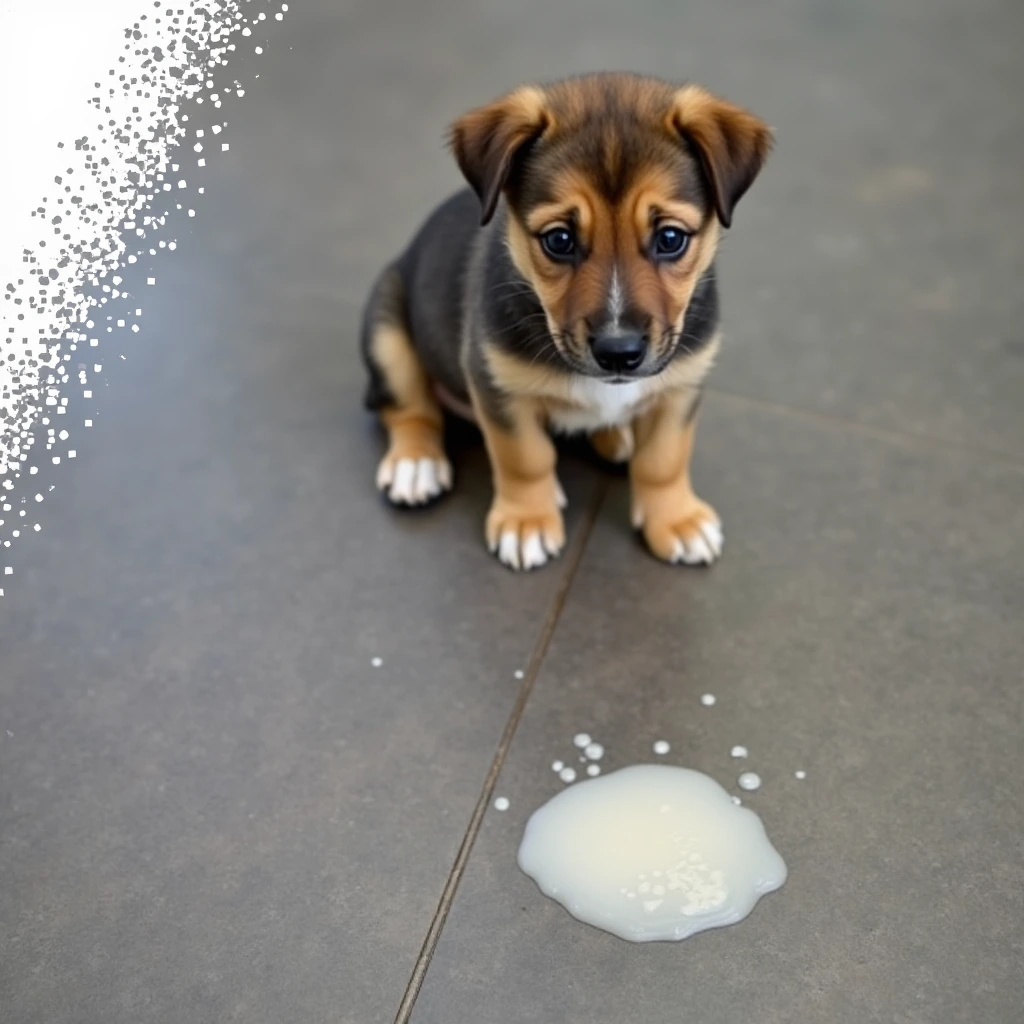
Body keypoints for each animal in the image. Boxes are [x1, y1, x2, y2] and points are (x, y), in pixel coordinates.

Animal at [360, 72, 770, 569]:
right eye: (559, 240)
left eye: (671, 238)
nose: (619, 353)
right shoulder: (498, 385)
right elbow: (525, 458)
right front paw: (526, 521)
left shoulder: (681, 386)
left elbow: (664, 460)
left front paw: (676, 520)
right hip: (386, 328)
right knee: (408, 407)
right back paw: (416, 463)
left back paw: (615, 437)